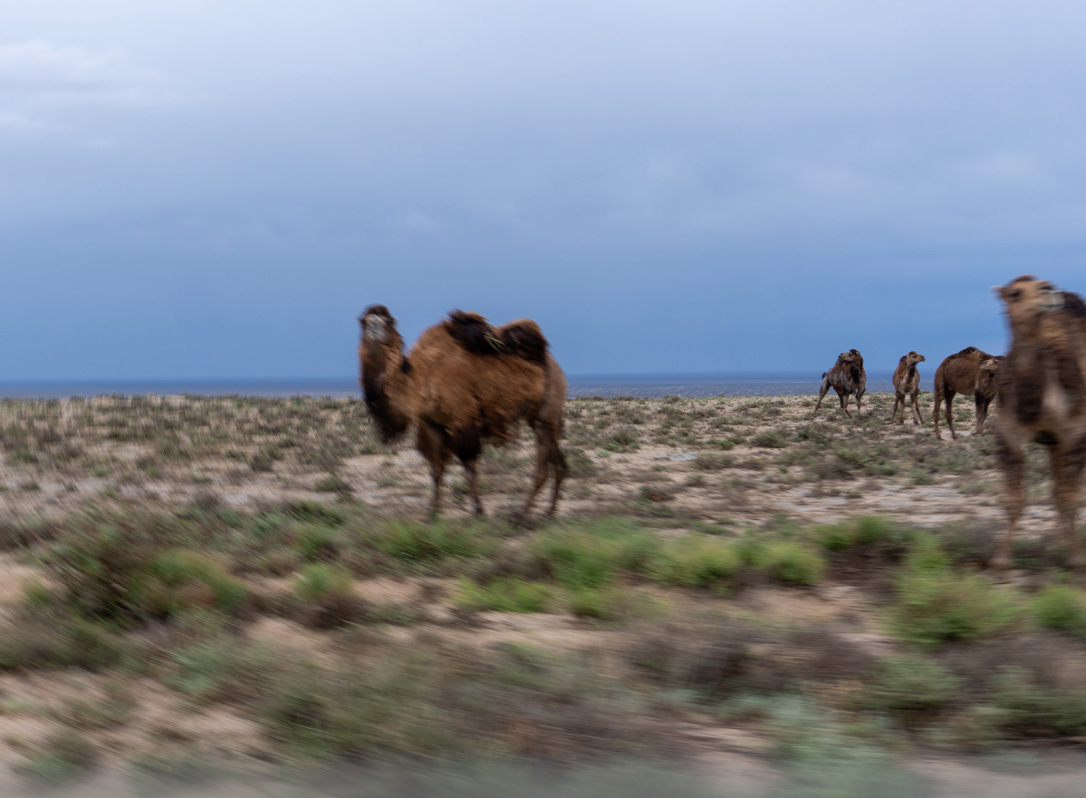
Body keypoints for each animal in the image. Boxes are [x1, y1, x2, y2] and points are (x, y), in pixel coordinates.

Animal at [358, 305, 567, 519]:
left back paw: (521, 515)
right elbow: (436, 468)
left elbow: (469, 466)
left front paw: (478, 510)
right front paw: (432, 512)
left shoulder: (463, 417)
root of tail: (555, 366)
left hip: (546, 412)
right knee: (558, 462)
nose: (373, 325)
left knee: (544, 466)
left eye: (388, 321)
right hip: (540, 416)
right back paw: (548, 512)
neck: (422, 378)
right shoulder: (431, 423)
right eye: (363, 321)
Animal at [992, 276, 1086, 570]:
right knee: (1056, 486)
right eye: (1015, 293)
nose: (1049, 290)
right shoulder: (1008, 431)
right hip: (1053, 444)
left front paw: (1076, 558)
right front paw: (1001, 560)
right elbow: (1014, 499)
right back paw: (1056, 543)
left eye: (1044, 285)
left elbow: (1070, 497)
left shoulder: (1076, 432)